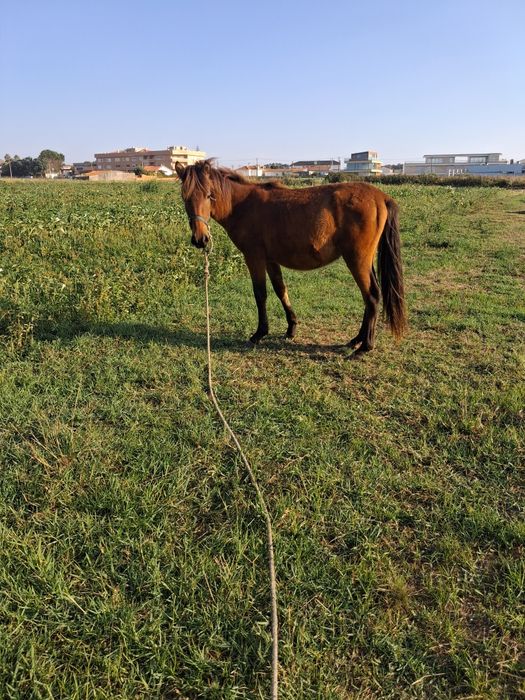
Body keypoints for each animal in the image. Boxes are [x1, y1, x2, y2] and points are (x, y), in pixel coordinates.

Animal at [175, 159, 407, 354]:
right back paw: (357, 339)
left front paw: (259, 333)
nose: (200, 239)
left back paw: (365, 346)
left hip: (357, 260)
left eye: (209, 195)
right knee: (370, 296)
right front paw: (291, 328)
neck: (242, 205)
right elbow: (281, 290)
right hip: (364, 261)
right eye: (185, 198)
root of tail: (381, 197)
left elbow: (260, 294)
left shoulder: (254, 258)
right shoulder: (270, 260)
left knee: (372, 296)